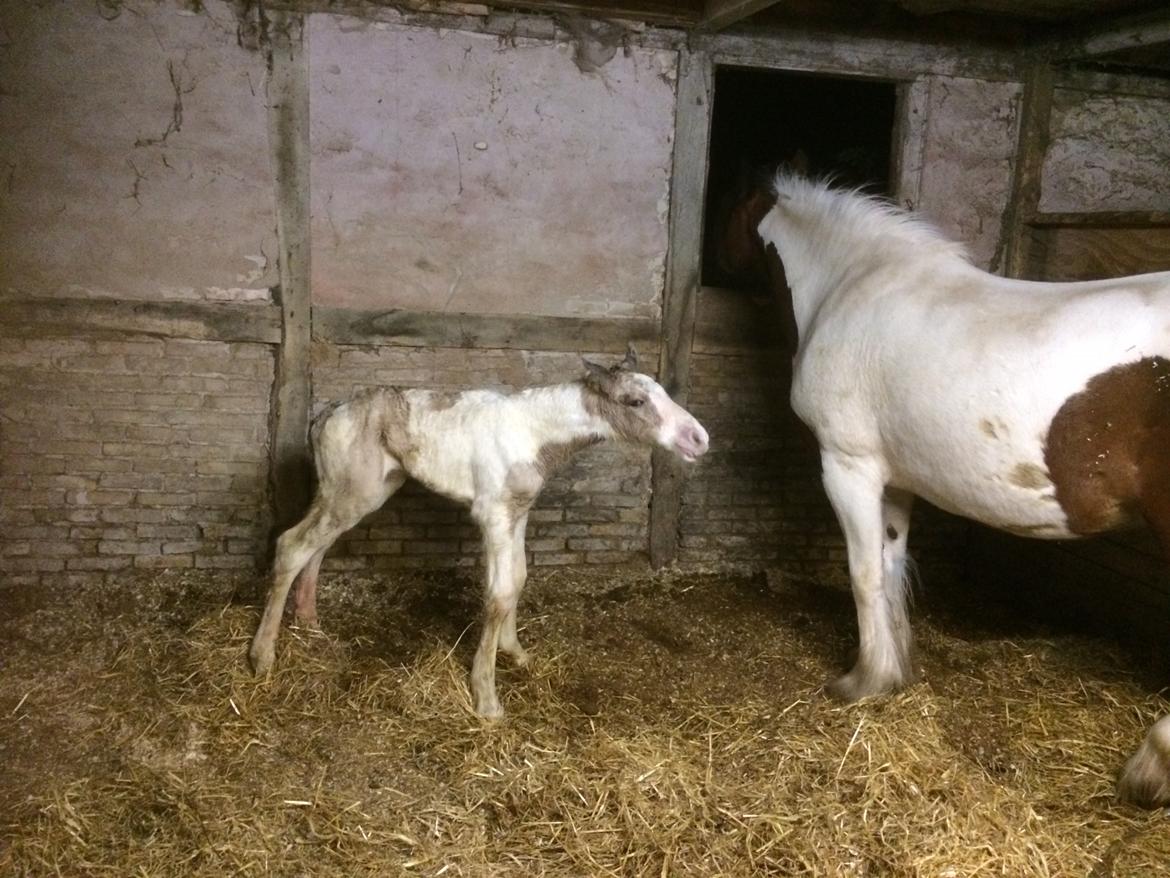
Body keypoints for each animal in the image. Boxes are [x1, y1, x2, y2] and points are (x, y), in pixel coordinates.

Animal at [251, 348, 706, 721]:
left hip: (354, 491)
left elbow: (518, 578)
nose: (699, 438)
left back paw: (309, 624)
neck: (533, 433)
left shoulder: (518, 512)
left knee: (316, 545)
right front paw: (486, 699)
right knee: (293, 545)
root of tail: (324, 416)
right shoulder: (494, 513)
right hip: (354, 492)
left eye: (663, 392)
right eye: (636, 401)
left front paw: (514, 652)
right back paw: (262, 656)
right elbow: (499, 593)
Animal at [716, 172, 1170, 810]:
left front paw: (862, 679)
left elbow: (863, 575)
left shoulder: (848, 468)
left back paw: (1150, 766)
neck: (847, 283)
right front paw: (895, 671)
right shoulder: (895, 482)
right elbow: (891, 566)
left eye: (729, 212)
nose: (714, 263)